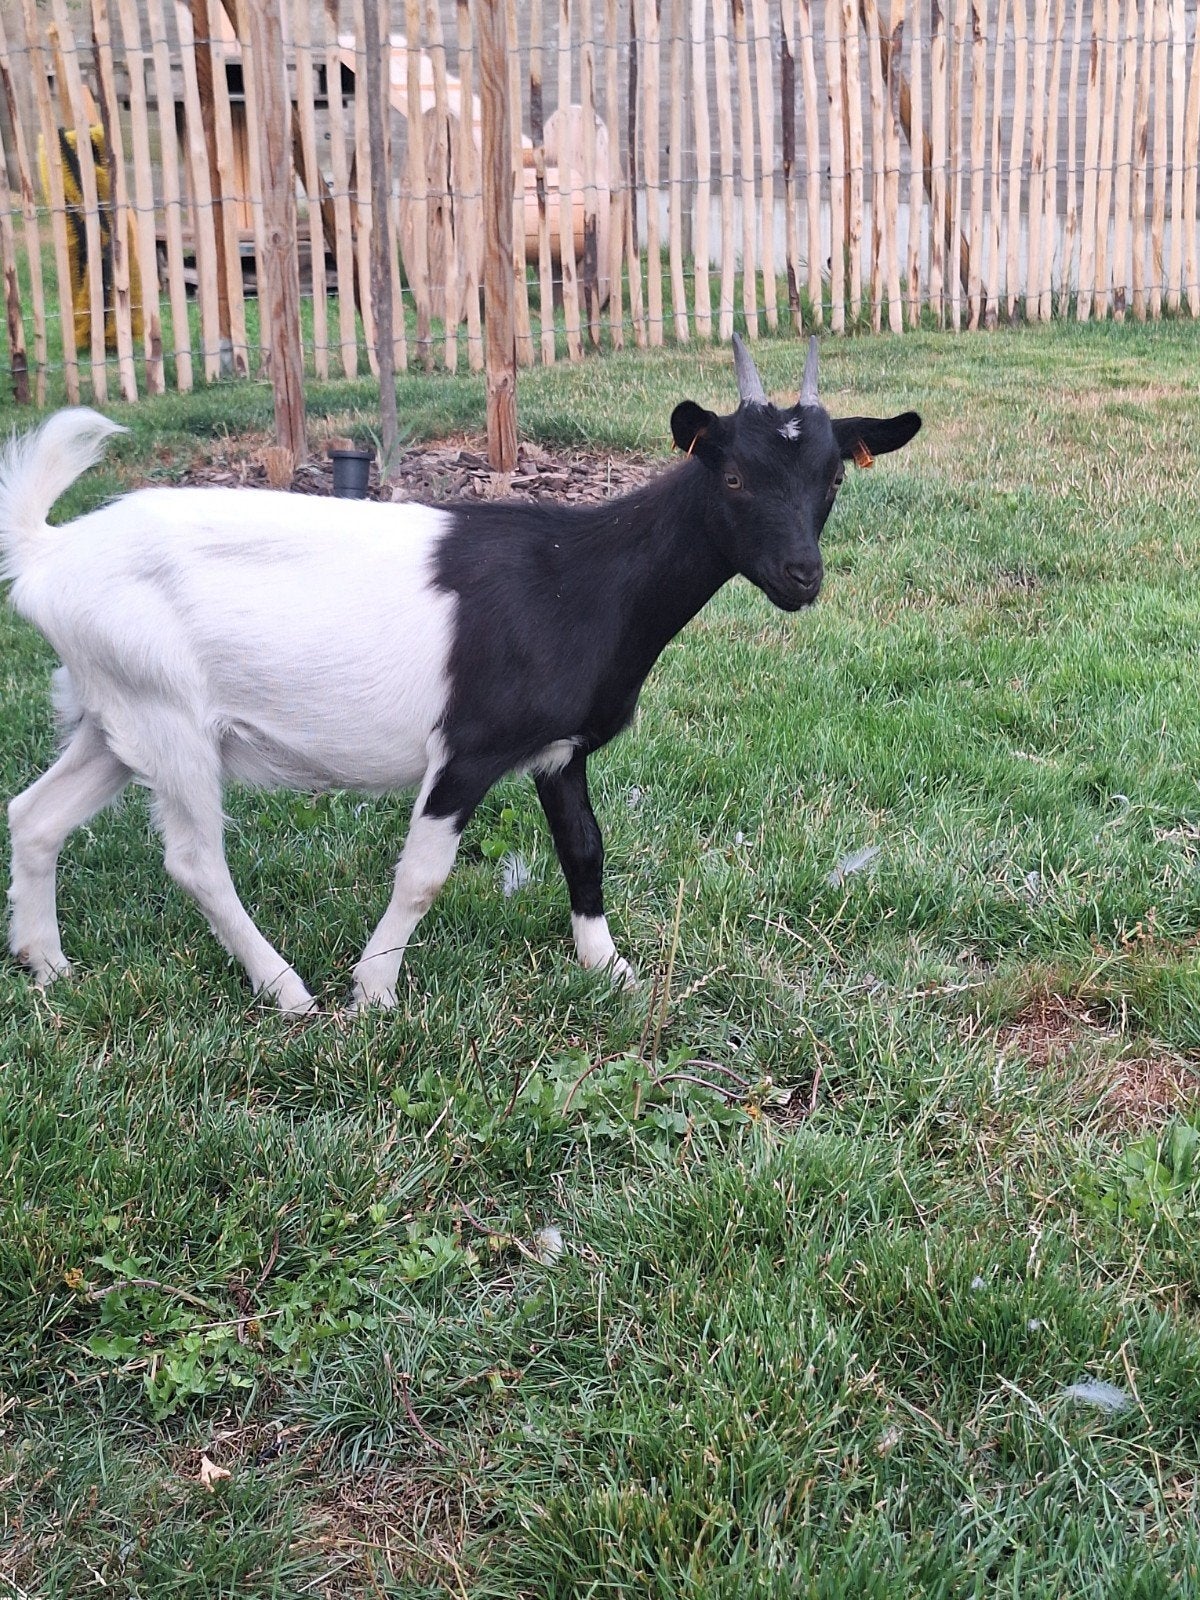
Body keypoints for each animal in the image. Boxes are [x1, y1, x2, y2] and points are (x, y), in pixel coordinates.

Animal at [1, 338, 920, 1014]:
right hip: (169, 716)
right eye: (731, 475)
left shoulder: (558, 749)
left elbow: (584, 847)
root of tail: (52, 553)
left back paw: (48, 965)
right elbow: (423, 874)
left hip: (112, 714)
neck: (581, 578)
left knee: (36, 816)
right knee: (195, 861)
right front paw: (374, 991)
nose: (802, 576)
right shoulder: (470, 749)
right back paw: (287, 990)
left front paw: (609, 969)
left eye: (833, 475)